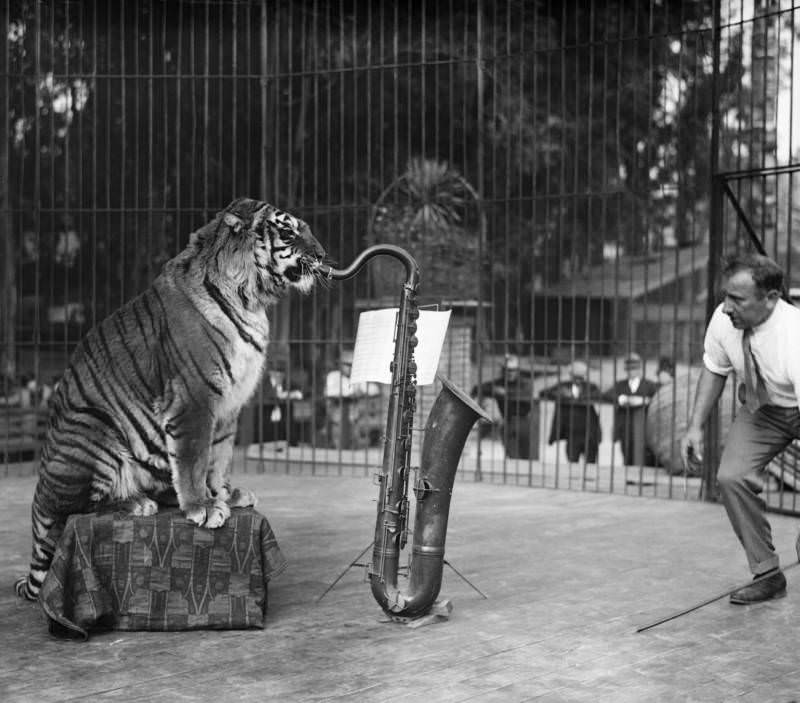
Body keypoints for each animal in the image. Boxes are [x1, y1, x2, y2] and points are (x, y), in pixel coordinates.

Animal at [14, 197, 324, 600]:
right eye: (288, 231)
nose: (323, 255)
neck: (250, 299)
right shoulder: (194, 398)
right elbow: (193, 459)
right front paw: (202, 507)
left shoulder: (229, 406)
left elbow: (218, 457)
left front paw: (223, 494)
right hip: (91, 428)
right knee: (73, 511)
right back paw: (135, 502)